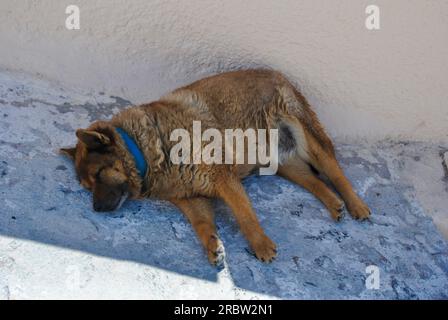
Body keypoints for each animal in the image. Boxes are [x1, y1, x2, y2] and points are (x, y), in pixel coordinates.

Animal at [62, 70, 372, 264]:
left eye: (99, 174)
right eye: (87, 186)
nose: (96, 209)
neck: (145, 151)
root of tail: (277, 74)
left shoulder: (223, 178)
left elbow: (244, 214)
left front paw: (260, 244)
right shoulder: (190, 197)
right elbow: (201, 223)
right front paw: (213, 245)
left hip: (307, 137)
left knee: (334, 171)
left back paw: (356, 205)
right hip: (280, 163)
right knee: (313, 180)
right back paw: (334, 203)